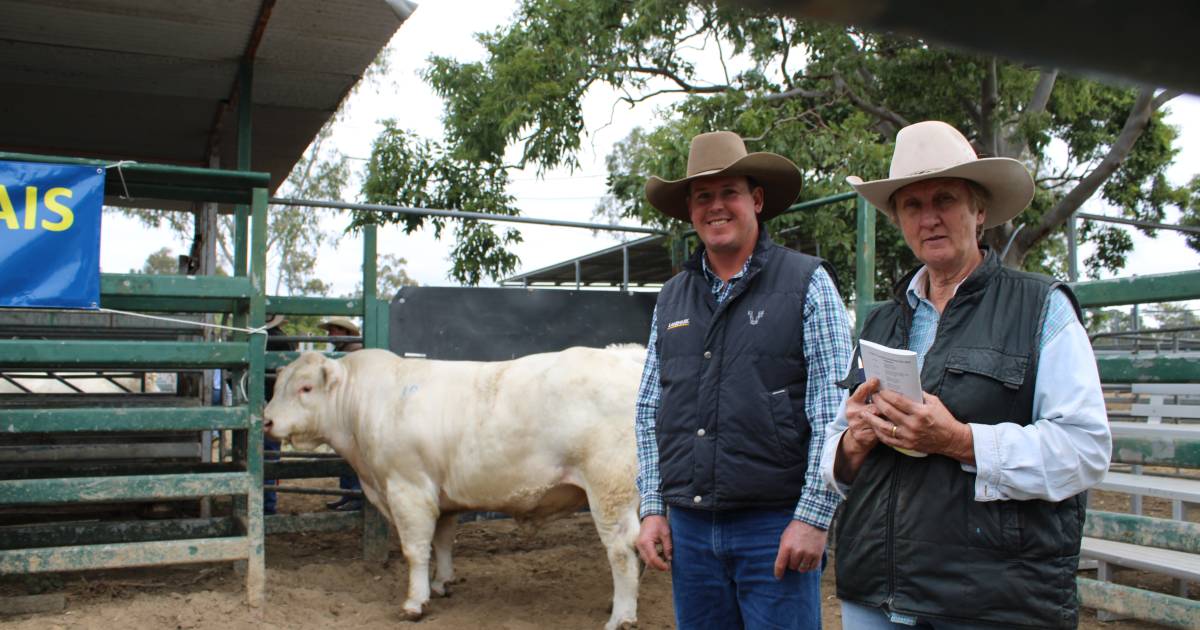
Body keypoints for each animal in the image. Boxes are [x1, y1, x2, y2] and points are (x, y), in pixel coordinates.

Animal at [264, 345, 648, 624]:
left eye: (305, 388)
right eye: (277, 387)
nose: (266, 421)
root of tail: (630, 356)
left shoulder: (408, 488)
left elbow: (415, 549)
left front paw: (414, 602)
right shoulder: (442, 496)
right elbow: (443, 541)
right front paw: (441, 583)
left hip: (609, 489)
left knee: (622, 549)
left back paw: (621, 617)